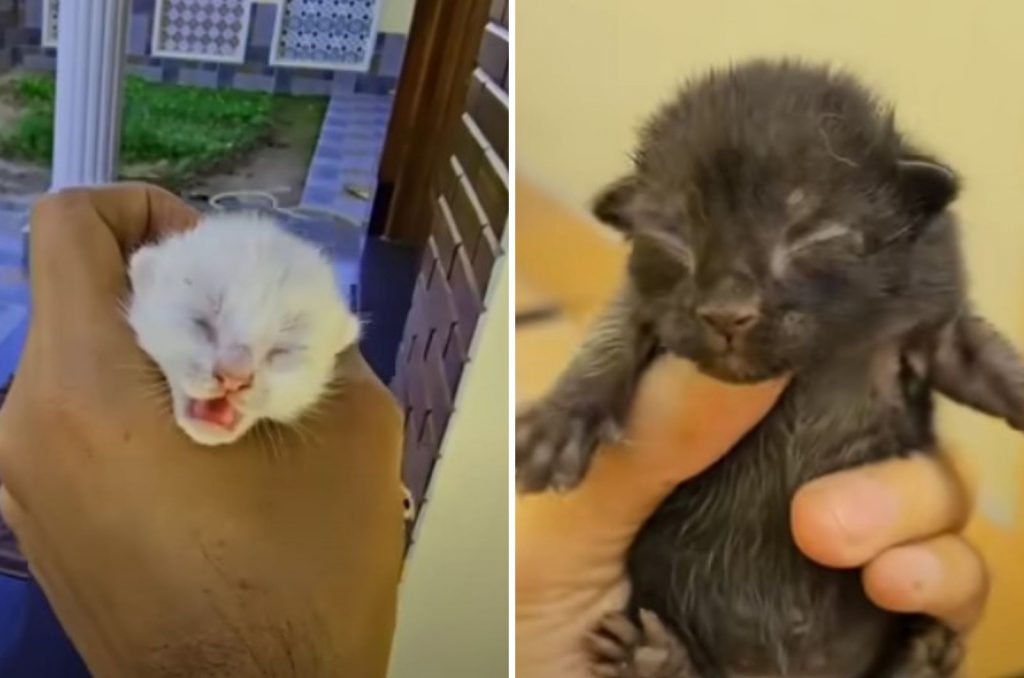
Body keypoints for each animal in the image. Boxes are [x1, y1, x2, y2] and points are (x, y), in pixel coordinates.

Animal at [516, 59, 1024, 678]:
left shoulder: (935, 318)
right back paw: (652, 658)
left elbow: (984, 359)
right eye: (673, 237)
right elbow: (613, 334)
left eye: (812, 237)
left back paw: (923, 654)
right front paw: (560, 421)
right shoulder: (642, 303)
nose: (726, 312)